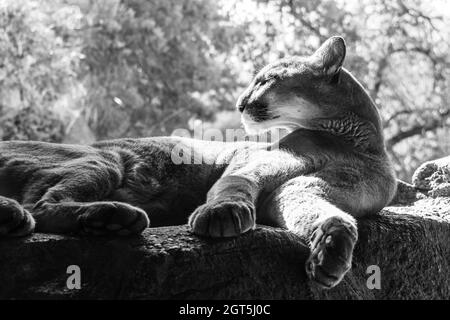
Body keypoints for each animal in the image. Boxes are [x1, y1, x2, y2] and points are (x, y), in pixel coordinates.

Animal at [0, 36, 394, 288]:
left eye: (267, 80)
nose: (239, 103)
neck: (354, 140)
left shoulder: (300, 188)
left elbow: (327, 215)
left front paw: (330, 253)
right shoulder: (258, 162)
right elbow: (235, 183)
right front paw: (222, 214)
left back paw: (110, 220)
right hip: (102, 160)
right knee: (40, 205)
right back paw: (110, 216)